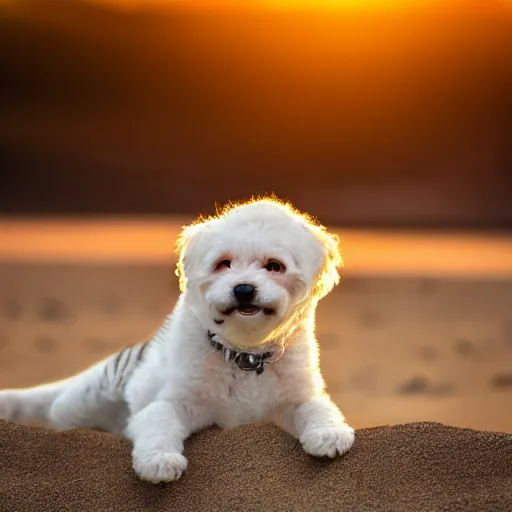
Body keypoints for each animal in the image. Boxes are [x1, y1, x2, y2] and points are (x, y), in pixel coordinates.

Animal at [0, 198, 354, 482]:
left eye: (274, 266)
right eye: (223, 263)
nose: (243, 289)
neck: (244, 355)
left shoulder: (296, 398)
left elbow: (318, 409)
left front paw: (329, 435)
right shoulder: (173, 403)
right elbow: (159, 422)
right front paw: (160, 462)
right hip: (83, 401)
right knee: (56, 410)